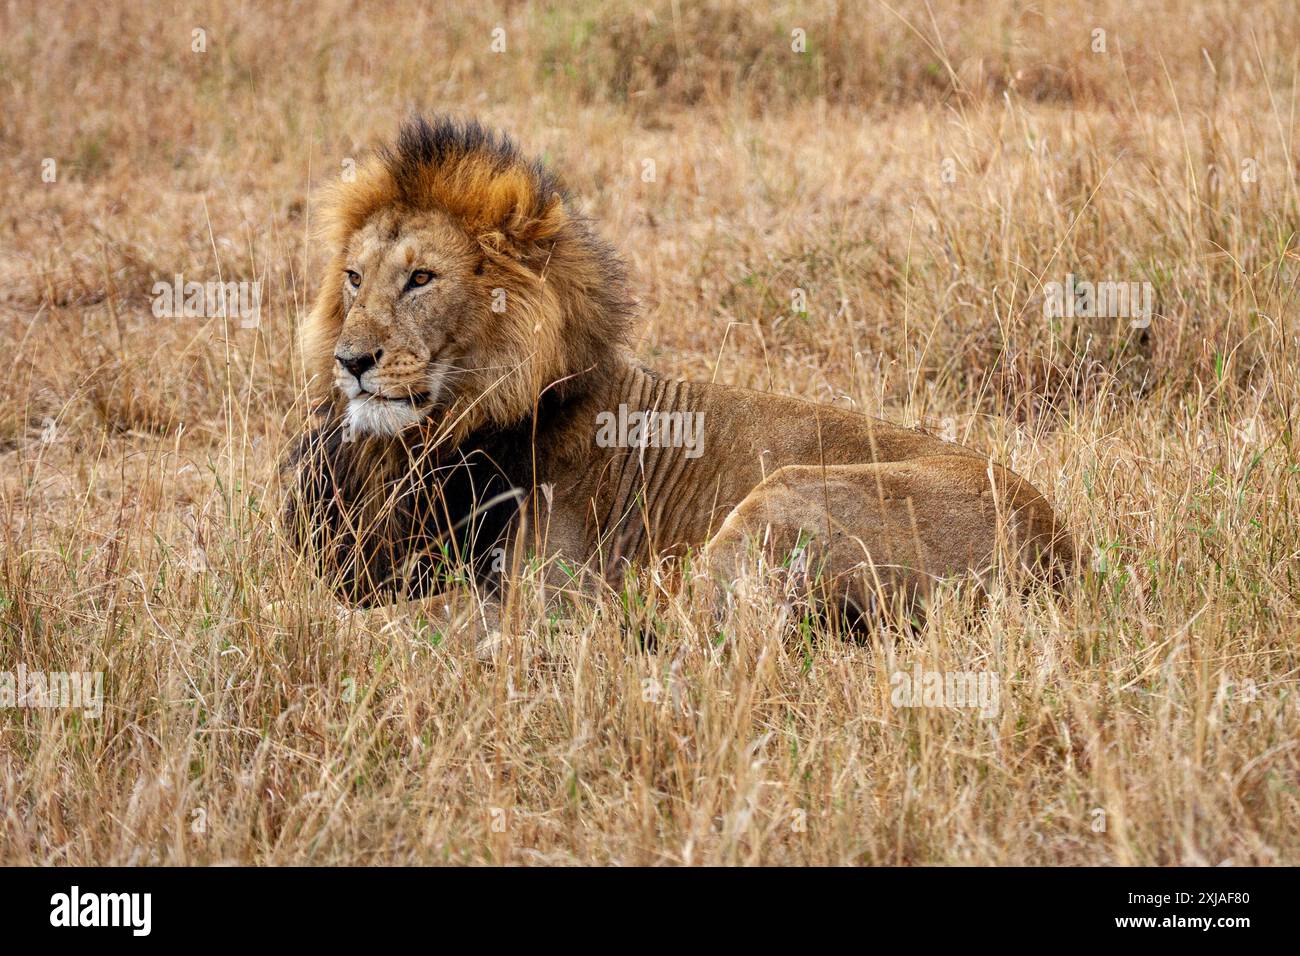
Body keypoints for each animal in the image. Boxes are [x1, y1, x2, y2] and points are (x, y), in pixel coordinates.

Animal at [282, 116, 1073, 625]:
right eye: (354, 277)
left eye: (421, 278)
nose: (351, 361)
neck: (434, 434)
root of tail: (1056, 555)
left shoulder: (541, 592)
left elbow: (379, 622)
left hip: (781, 498)